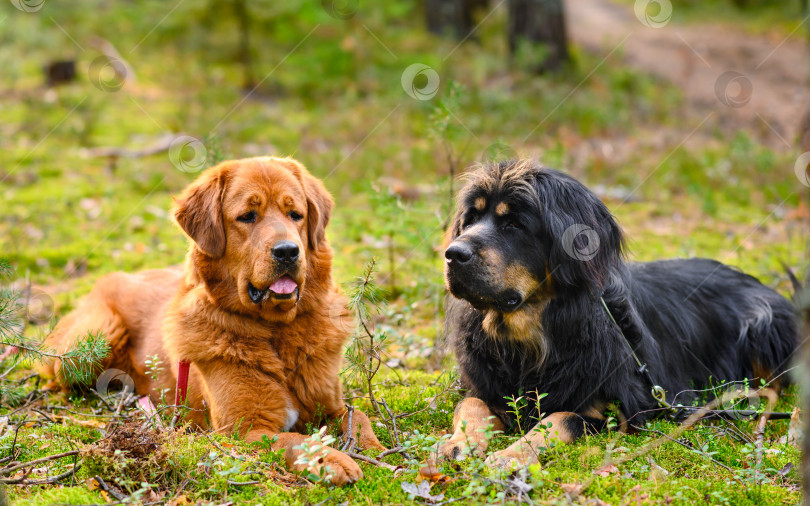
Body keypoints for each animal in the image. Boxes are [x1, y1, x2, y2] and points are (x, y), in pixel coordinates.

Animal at [42, 156, 384, 484]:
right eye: (248, 216)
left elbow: (360, 416)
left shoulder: (331, 404)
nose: (288, 251)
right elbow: (294, 440)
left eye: (295, 215)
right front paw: (330, 460)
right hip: (91, 344)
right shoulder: (244, 429)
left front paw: (375, 450)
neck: (276, 332)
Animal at [438, 160, 792, 468]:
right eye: (470, 219)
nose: (453, 254)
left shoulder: (618, 408)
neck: (532, 334)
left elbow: (558, 419)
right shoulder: (486, 385)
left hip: (765, 326)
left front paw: (511, 455)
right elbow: (470, 404)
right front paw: (458, 443)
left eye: (514, 224)